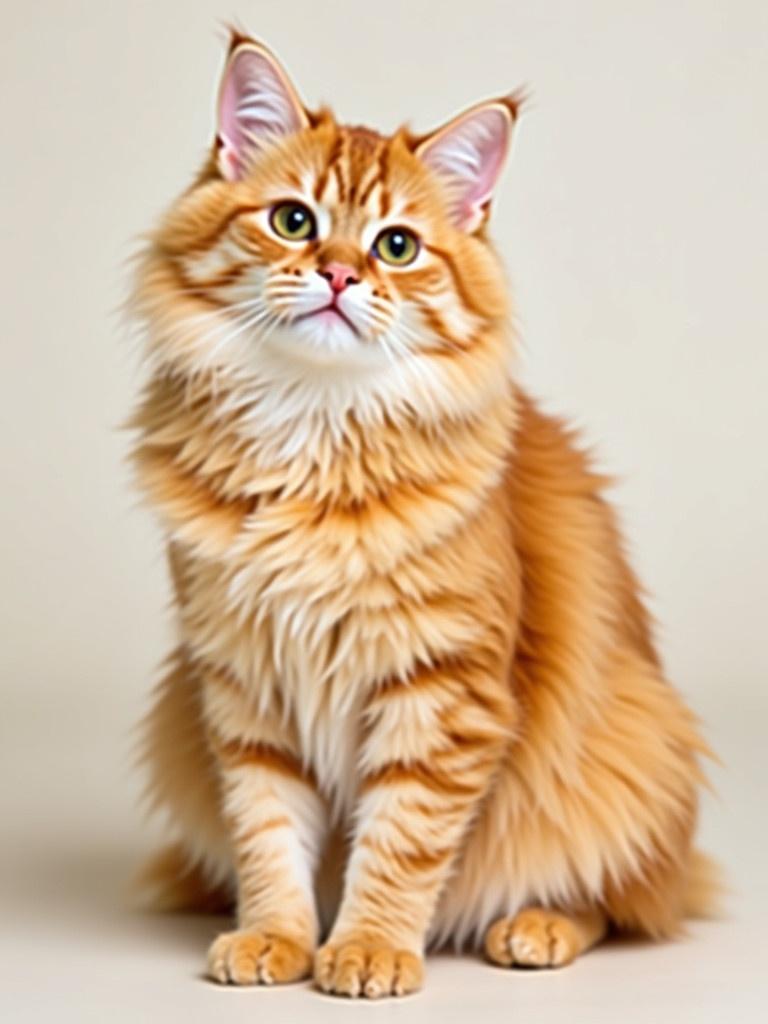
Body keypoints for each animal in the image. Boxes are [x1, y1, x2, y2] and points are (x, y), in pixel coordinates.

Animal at [131, 34, 716, 999]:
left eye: (397, 246)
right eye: (293, 221)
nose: (338, 273)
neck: (314, 428)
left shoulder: (444, 689)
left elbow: (399, 843)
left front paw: (369, 947)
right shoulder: (244, 686)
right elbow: (267, 833)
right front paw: (277, 937)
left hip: (635, 739)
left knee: (622, 902)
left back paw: (536, 927)